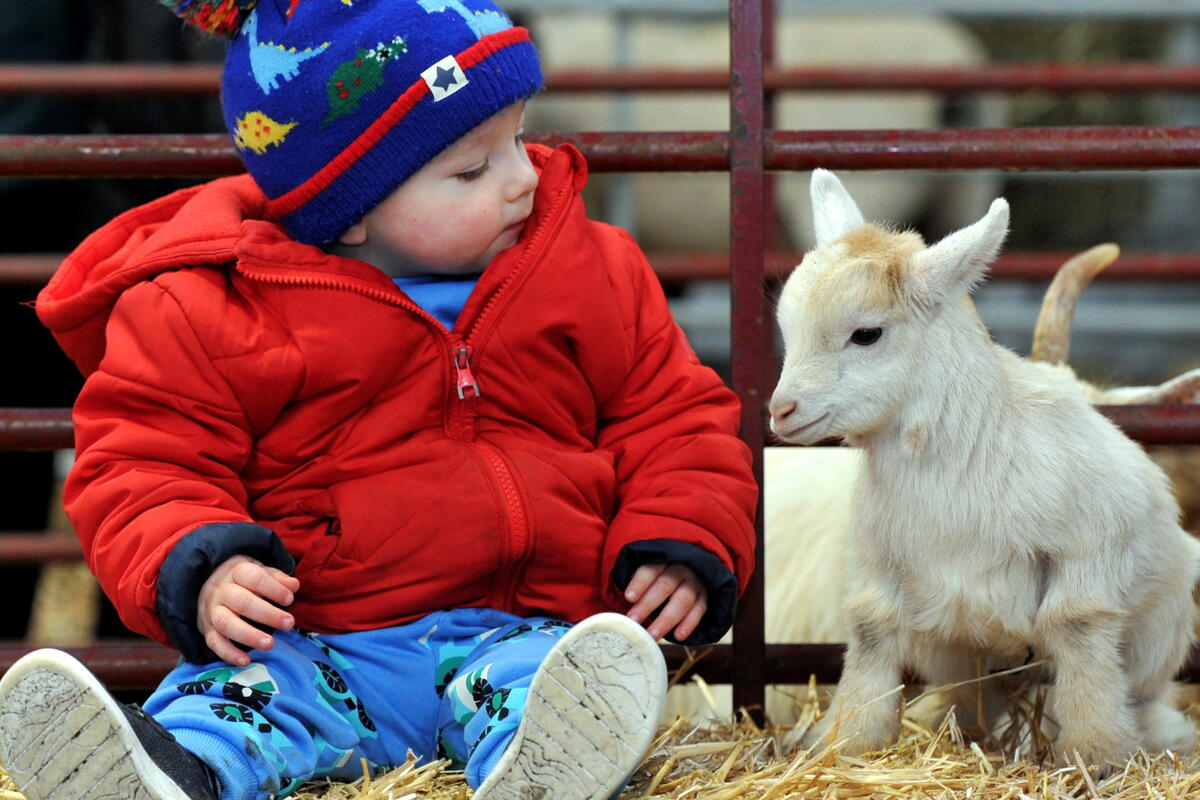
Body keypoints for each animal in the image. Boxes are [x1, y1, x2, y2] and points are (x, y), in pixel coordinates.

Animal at [769, 169, 1200, 766]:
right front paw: (847, 740)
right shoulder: (879, 565)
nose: (781, 410)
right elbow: (872, 628)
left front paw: (1093, 755)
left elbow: (1076, 628)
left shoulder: (1087, 553)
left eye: (867, 333)